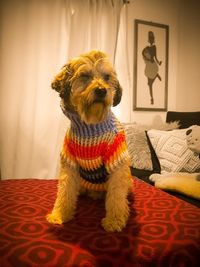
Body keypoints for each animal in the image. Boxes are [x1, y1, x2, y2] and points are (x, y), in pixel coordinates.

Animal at [47, 49, 133, 232]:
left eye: (107, 77)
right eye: (85, 76)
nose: (101, 90)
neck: (90, 127)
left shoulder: (117, 164)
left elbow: (116, 197)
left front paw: (114, 221)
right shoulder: (70, 164)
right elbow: (64, 192)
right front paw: (59, 215)